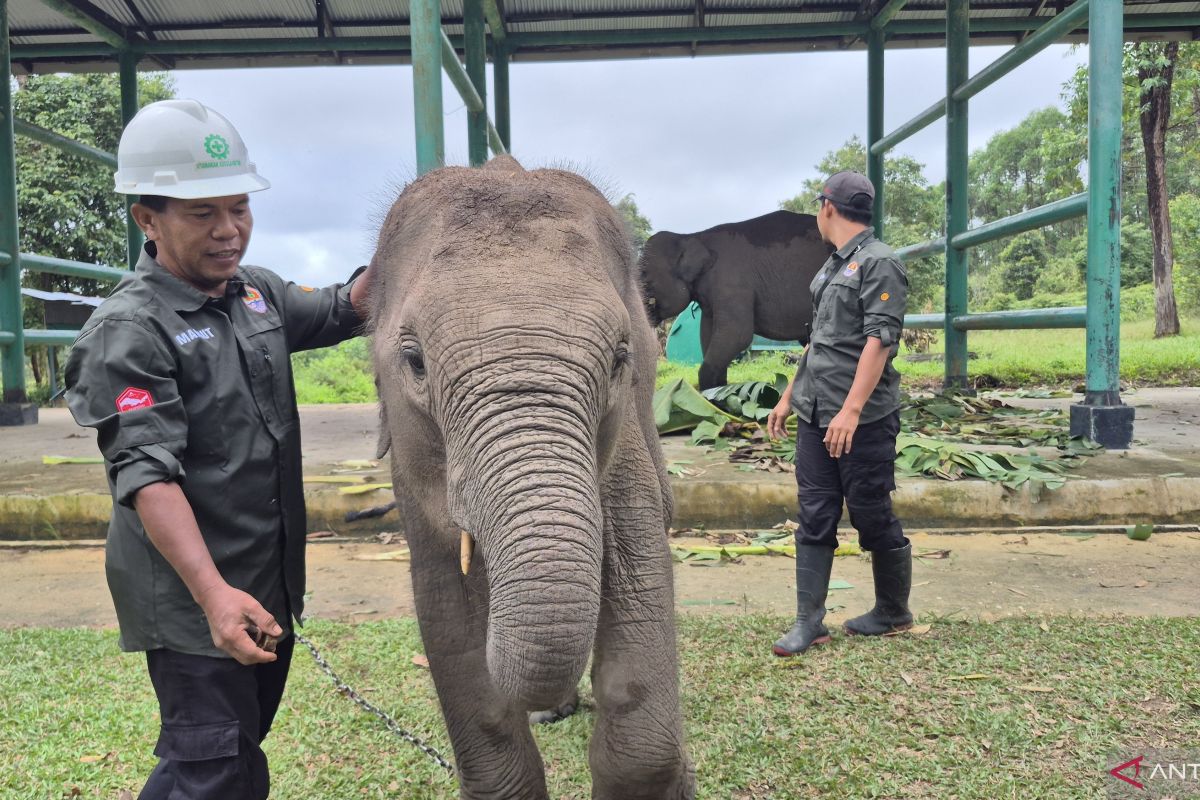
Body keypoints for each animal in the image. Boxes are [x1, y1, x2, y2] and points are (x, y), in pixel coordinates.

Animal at [368, 156, 695, 800]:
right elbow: (448, 611)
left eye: (621, 359)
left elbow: (638, 569)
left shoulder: (625, 449)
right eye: (414, 361)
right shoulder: (412, 474)